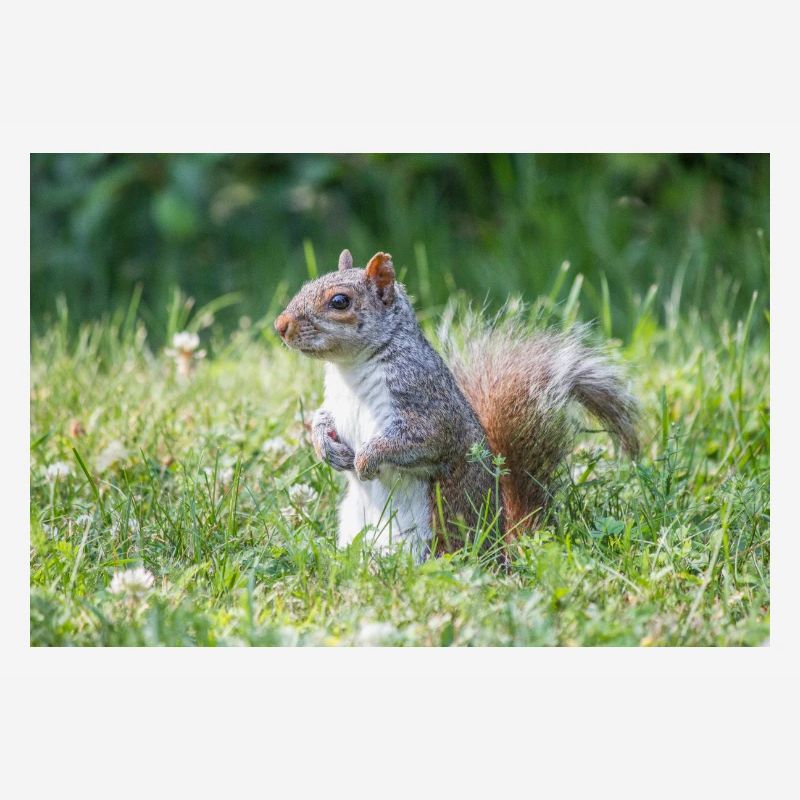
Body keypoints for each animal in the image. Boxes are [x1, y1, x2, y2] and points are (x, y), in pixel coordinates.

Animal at [275, 249, 639, 562]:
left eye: (340, 301)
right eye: (306, 285)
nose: (280, 325)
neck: (349, 369)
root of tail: (500, 550)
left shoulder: (427, 402)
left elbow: (421, 440)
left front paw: (366, 459)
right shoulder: (334, 402)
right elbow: (322, 419)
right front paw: (325, 447)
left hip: (428, 541)